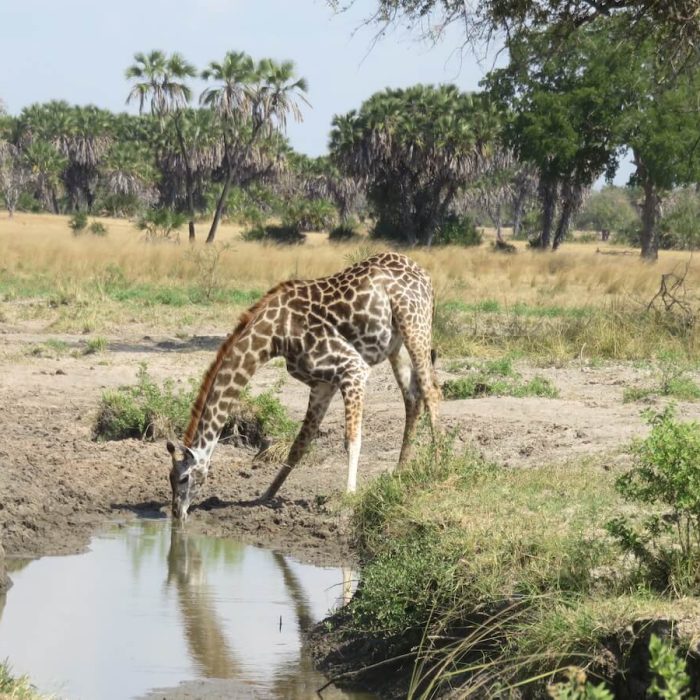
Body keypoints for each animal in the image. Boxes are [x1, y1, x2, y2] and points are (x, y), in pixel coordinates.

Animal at [167, 252, 440, 520]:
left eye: (183, 478)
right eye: (169, 477)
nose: (177, 513)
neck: (274, 336)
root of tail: (423, 273)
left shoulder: (353, 368)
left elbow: (351, 439)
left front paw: (349, 496)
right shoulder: (322, 384)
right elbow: (299, 445)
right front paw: (265, 495)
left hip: (414, 324)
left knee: (432, 392)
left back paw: (438, 462)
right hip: (396, 345)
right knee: (413, 397)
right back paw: (400, 472)